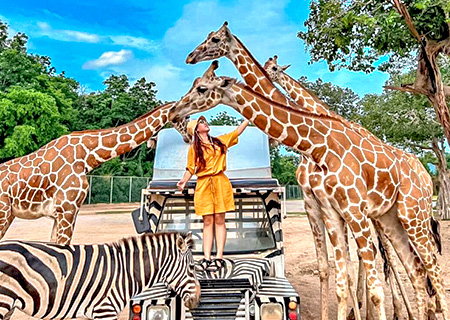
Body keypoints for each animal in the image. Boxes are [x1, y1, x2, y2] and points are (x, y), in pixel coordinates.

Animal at [0, 102, 189, 245]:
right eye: (186, 116)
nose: (188, 137)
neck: (86, 155)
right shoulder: (67, 209)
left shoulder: (62, 213)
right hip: (4, 213)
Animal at [185, 21, 436, 318]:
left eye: (214, 38)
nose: (191, 56)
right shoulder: (317, 204)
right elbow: (332, 269)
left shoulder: (341, 206)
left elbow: (354, 270)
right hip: (387, 215)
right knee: (406, 264)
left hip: (404, 213)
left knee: (415, 261)